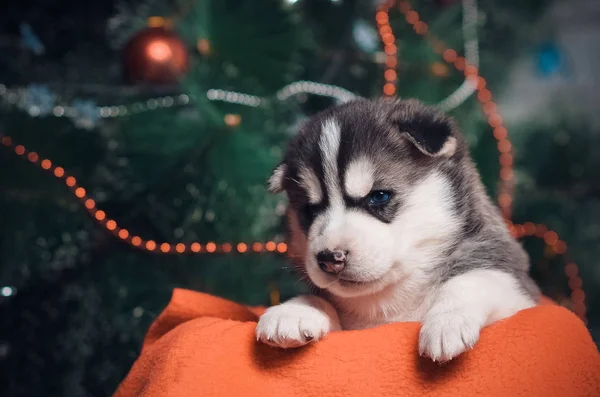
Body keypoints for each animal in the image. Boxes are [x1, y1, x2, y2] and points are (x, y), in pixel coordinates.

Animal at [255, 97, 540, 360]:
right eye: (310, 210)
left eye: (379, 196)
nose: (329, 259)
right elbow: (320, 298)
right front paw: (295, 310)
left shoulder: (523, 292)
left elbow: (475, 279)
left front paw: (447, 321)